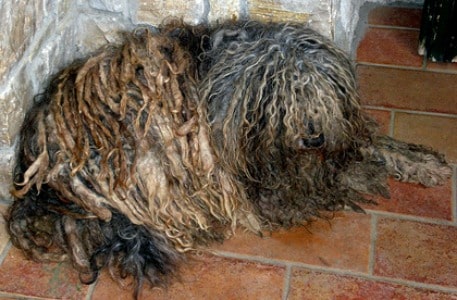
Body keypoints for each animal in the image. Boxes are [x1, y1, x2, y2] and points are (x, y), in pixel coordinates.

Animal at [7, 20, 452, 296]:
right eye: (283, 98)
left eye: (321, 96)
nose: (313, 138)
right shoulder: (263, 182)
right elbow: (340, 173)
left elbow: (368, 143)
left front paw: (420, 161)